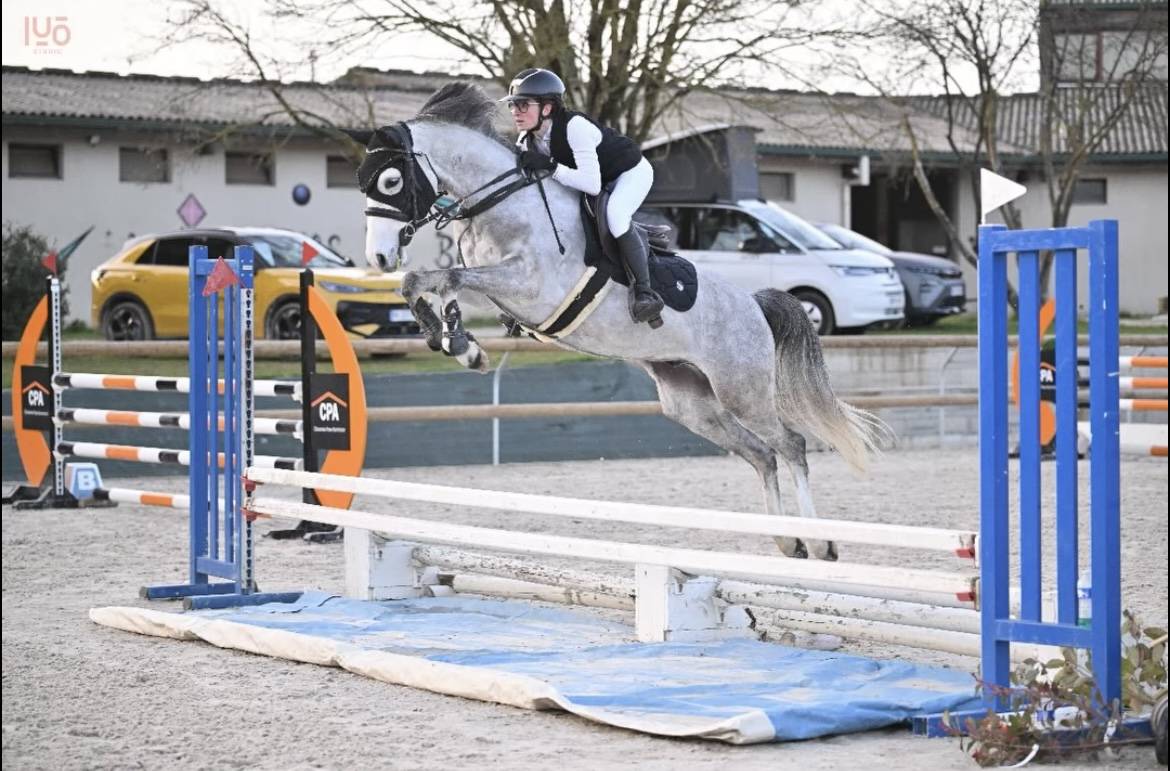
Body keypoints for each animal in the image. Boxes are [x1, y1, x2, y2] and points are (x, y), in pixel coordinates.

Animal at [358, 82, 889, 561]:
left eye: (390, 182)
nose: (378, 257)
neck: (503, 202)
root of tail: (754, 305)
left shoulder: (530, 285)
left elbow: (439, 276)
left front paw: (460, 342)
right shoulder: (491, 281)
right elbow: (428, 281)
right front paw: (460, 344)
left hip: (742, 389)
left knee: (791, 445)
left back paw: (819, 543)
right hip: (689, 402)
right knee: (761, 453)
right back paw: (786, 541)